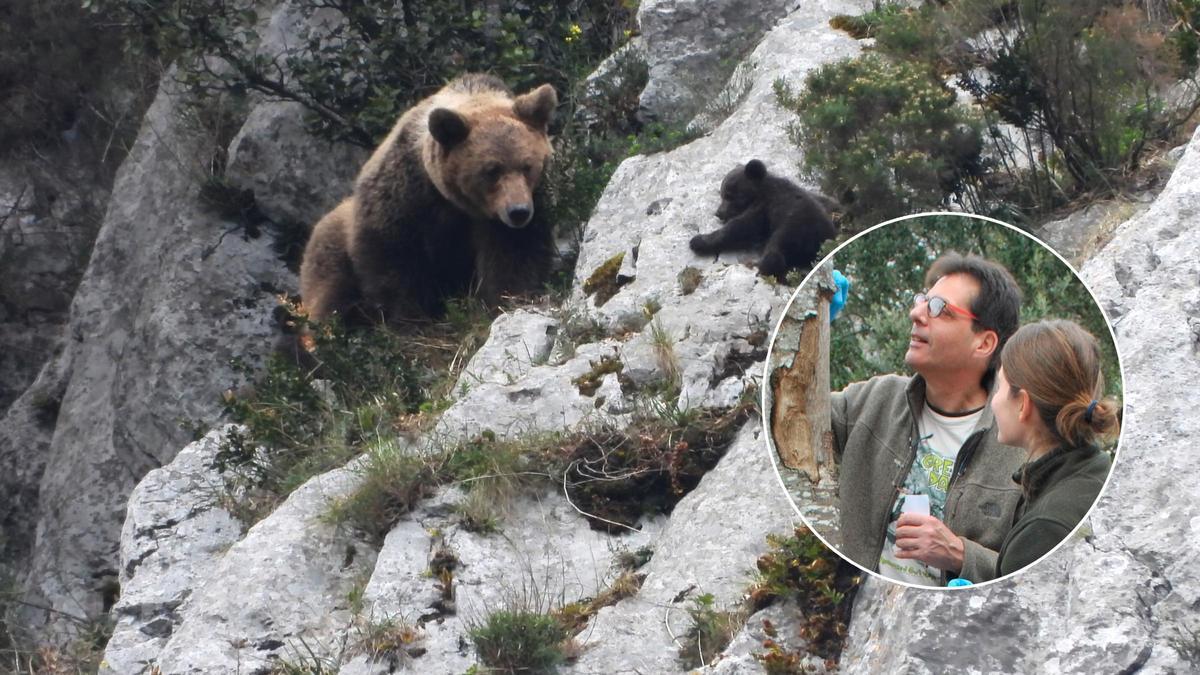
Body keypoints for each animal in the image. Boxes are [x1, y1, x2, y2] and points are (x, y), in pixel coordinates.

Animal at [299, 73, 557, 325]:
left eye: (527, 166)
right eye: (491, 170)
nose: (518, 211)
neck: (455, 202)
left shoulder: (512, 213)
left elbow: (514, 254)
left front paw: (509, 299)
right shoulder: (404, 197)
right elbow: (396, 263)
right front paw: (410, 319)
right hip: (332, 250)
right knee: (333, 297)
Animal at [689, 159, 838, 279]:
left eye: (729, 195)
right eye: (722, 194)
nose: (719, 213)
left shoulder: (764, 207)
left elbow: (740, 228)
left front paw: (698, 241)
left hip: (794, 230)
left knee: (774, 253)